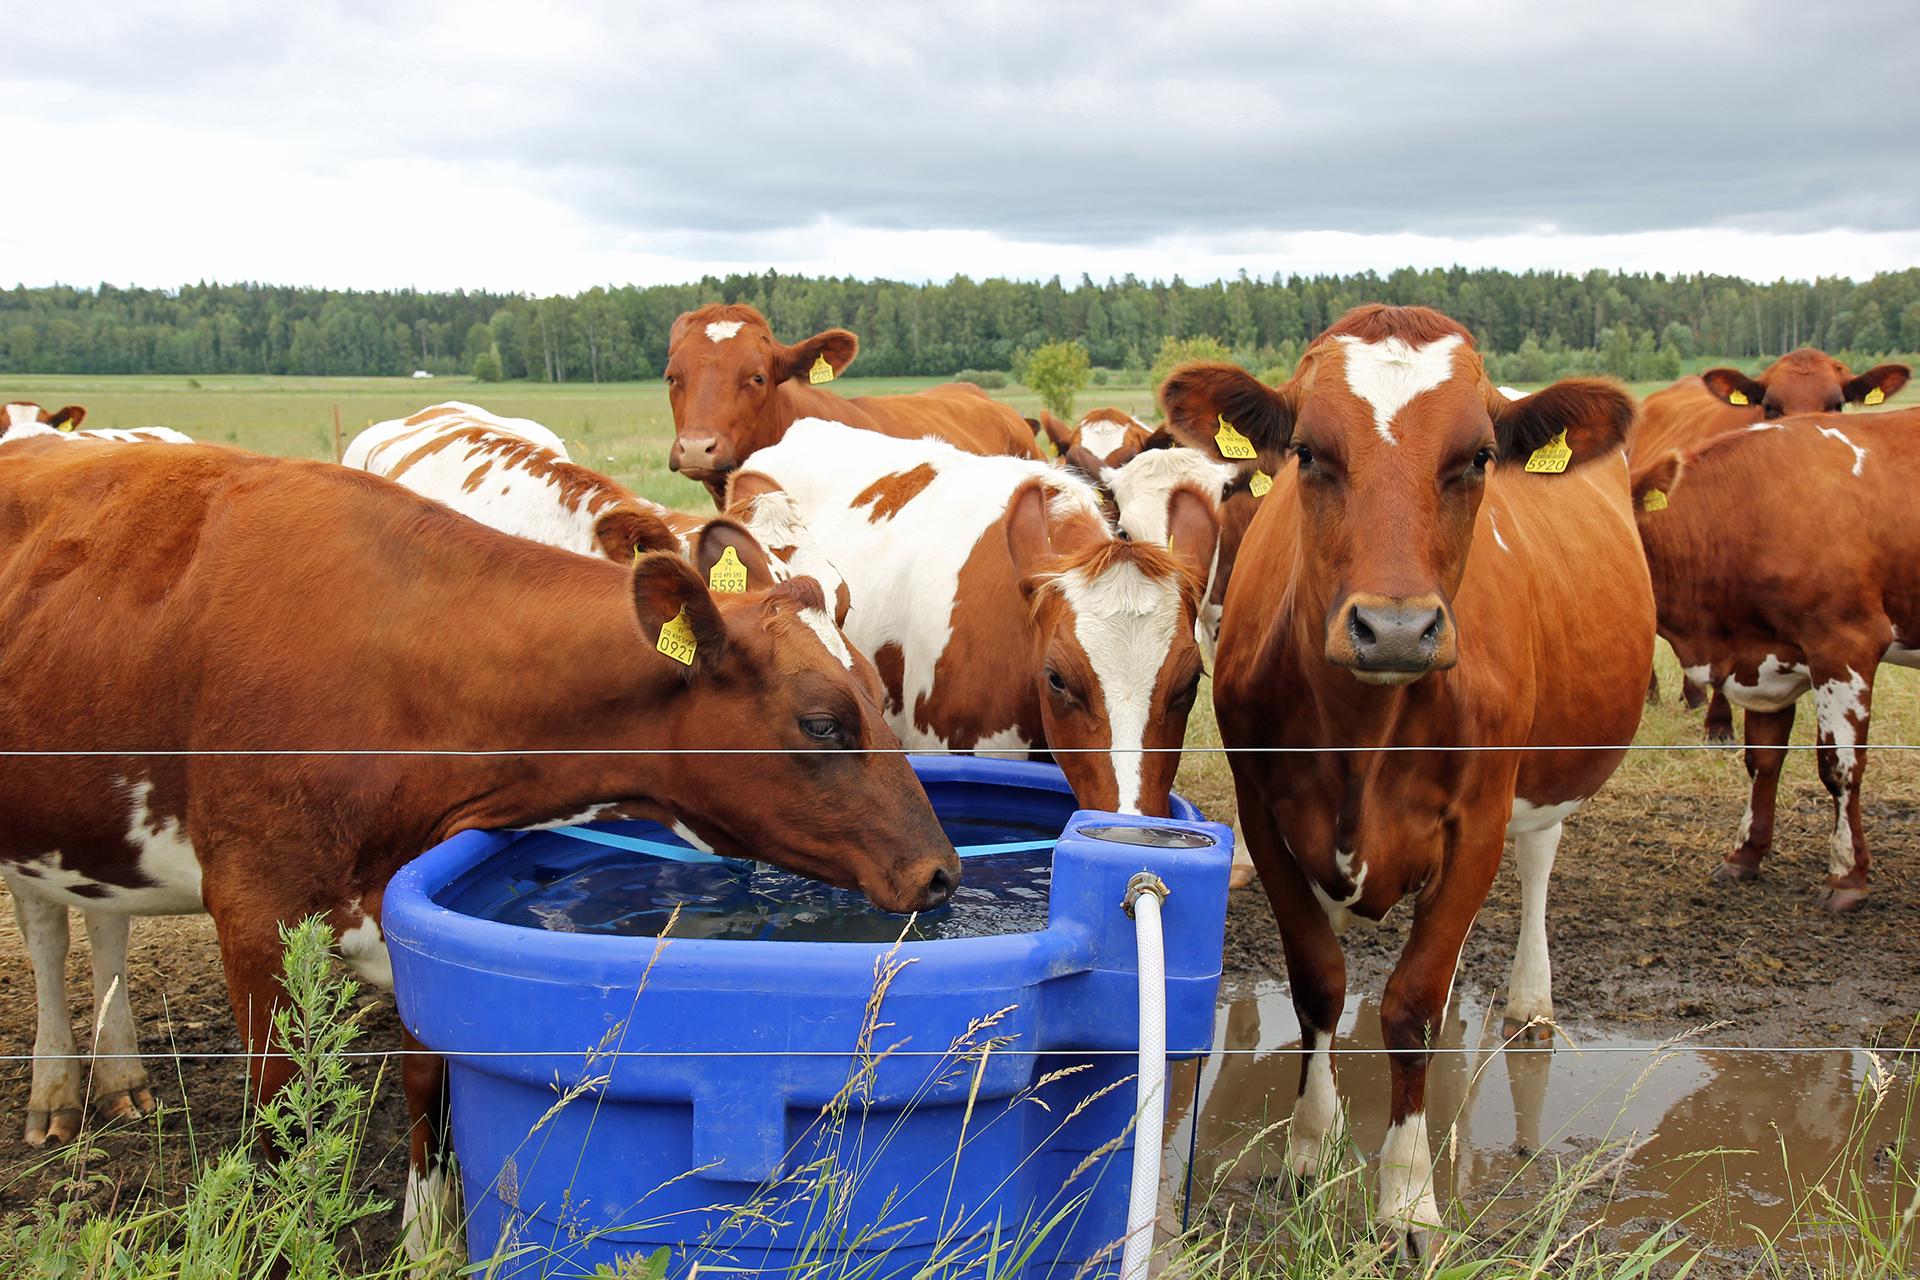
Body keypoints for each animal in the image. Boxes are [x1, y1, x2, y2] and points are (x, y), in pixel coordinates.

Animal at [0, 437, 958, 1255]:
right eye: (823, 722)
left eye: (877, 689)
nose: (942, 871)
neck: (406, 664)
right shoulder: (253, 913)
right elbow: (279, 1118)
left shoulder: (410, 907)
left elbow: (430, 1086)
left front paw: (428, 1240)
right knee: (46, 930)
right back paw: (56, 1089)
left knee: (94, 917)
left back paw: (115, 1076)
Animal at [1159, 304, 1654, 1250]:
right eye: (1308, 452)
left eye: (1480, 456)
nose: (1394, 629)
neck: (1365, 734)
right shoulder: (1265, 812)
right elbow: (1318, 982)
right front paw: (1308, 1154)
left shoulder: (1477, 825)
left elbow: (1413, 1006)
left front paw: (1408, 1196)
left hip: (1543, 780)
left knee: (1537, 860)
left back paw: (1529, 1002)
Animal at [1631, 407, 1920, 912]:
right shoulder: (1763, 659)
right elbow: (1762, 760)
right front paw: (1745, 855)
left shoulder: (1846, 645)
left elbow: (1839, 767)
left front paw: (1847, 875)